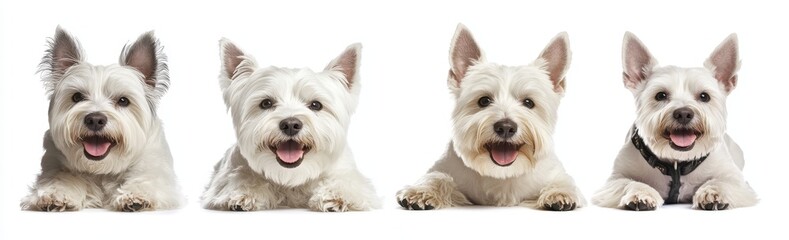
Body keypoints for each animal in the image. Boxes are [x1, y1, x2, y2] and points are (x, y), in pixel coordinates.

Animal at [21, 26, 183, 212]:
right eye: (77, 97)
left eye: (123, 100)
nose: (95, 120)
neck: (102, 170)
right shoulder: (55, 165)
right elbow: (61, 178)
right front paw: (55, 194)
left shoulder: (156, 169)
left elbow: (148, 179)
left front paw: (135, 195)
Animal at [200, 38, 378, 211]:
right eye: (266, 103)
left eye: (316, 105)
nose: (291, 125)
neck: (291, 177)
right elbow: (241, 177)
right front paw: (244, 193)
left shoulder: (347, 173)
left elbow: (346, 181)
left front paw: (336, 195)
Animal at [394, 24, 584, 210]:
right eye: (484, 100)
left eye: (529, 103)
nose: (506, 127)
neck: (501, 174)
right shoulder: (446, 167)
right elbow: (437, 176)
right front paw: (421, 192)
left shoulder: (554, 172)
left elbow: (565, 181)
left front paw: (560, 194)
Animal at [592, 31, 756, 210]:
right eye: (660, 95)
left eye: (704, 96)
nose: (683, 114)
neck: (677, 161)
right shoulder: (614, 180)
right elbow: (629, 182)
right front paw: (641, 194)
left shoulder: (737, 180)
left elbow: (721, 182)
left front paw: (713, 193)